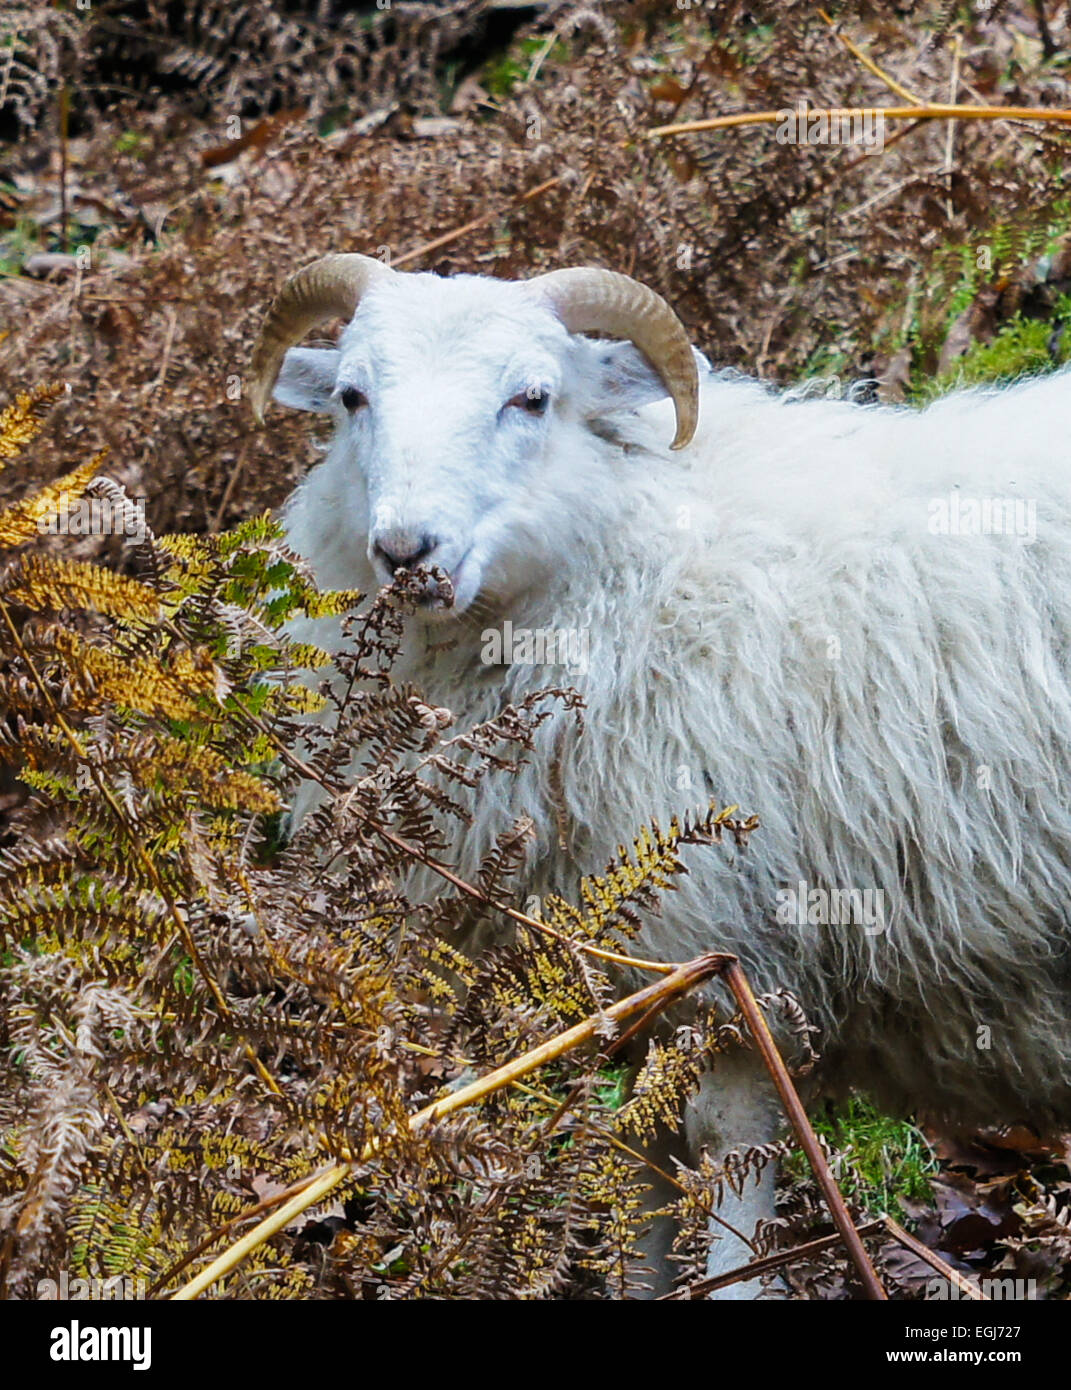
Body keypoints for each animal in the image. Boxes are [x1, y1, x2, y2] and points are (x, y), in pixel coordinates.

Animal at [251, 255, 1071, 1295]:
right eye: (353, 396)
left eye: (532, 397)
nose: (407, 555)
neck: (647, 561)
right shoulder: (622, 969)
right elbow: (637, 1152)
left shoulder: (730, 942)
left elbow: (722, 1142)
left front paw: (737, 1276)